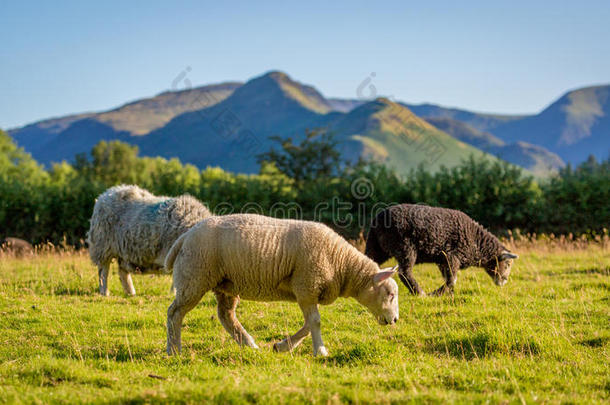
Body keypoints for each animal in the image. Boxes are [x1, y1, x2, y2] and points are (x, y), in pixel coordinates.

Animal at [163, 213, 400, 356]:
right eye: (390, 294)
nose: (395, 320)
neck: (340, 262)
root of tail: (185, 236)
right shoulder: (307, 286)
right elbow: (315, 322)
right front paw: (321, 351)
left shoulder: (307, 292)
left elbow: (308, 324)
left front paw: (282, 346)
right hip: (194, 278)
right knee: (174, 313)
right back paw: (174, 350)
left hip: (225, 284)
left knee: (226, 316)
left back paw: (250, 345)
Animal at [364, 204, 516, 296]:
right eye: (508, 264)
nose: (504, 281)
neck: (476, 243)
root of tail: (378, 220)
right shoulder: (452, 256)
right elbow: (452, 279)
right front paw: (438, 293)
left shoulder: (442, 261)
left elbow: (449, 278)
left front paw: (448, 293)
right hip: (405, 248)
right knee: (404, 273)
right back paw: (419, 293)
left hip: (376, 246)